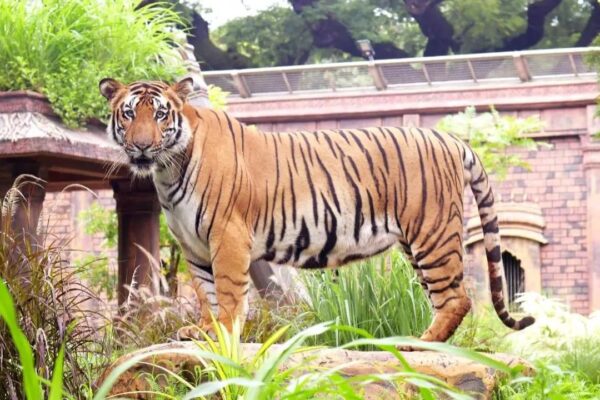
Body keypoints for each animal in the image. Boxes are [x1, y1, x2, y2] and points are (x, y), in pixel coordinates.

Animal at [99, 77, 534, 346]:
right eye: (128, 113)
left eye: (160, 114)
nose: (140, 146)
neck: (167, 170)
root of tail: (449, 138)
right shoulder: (193, 246)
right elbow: (206, 294)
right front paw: (205, 332)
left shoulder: (227, 236)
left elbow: (227, 292)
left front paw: (226, 334)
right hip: (419, 243)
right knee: (447, 299)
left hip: (433, 234)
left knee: (458, 299)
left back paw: (418, 346)